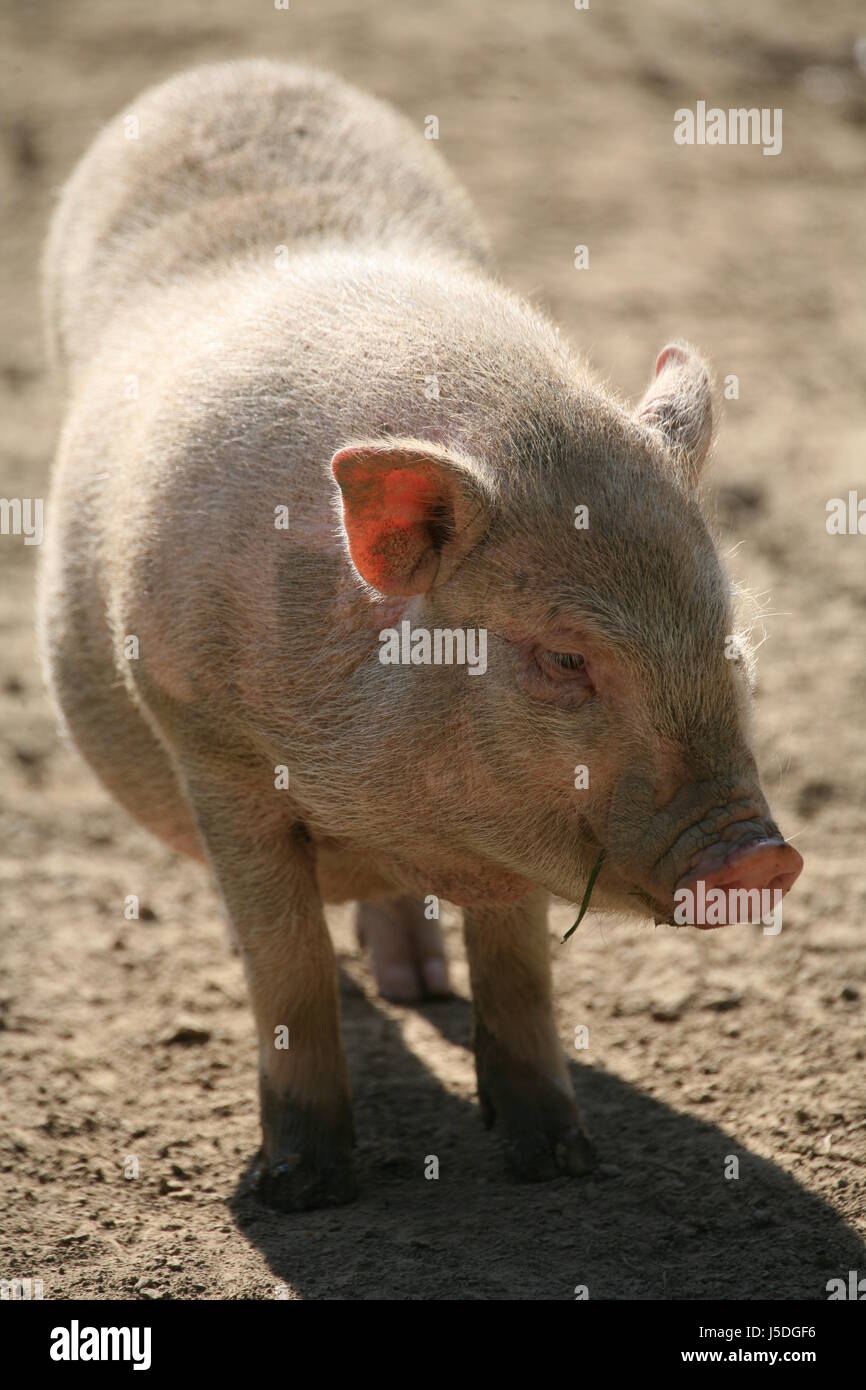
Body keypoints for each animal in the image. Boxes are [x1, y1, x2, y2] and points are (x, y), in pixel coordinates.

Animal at [38, 60, 803, 1210]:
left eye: (732, 640)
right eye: (563, 658)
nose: (760, 853)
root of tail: (234, 69)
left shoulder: (517, 831)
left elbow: (521, 969)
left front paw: (559, 1162)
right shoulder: (207, 741)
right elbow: (289, 968)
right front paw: (301, 1191)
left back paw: (423, 984)